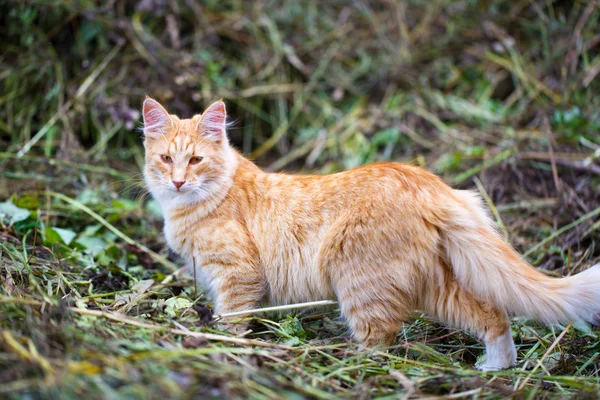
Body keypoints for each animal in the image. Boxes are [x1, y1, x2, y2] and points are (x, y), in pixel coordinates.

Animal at [142, 97, 600, 372]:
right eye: (165, 159)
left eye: (195, 160)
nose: (178, 182)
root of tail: (423, 180)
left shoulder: (237, 276)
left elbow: (232, 319)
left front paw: (220, 344)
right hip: (434, 286)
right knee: (492, 314)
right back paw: (496, 368)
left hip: (361, 282)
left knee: (379, 339)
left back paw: (349, 366)